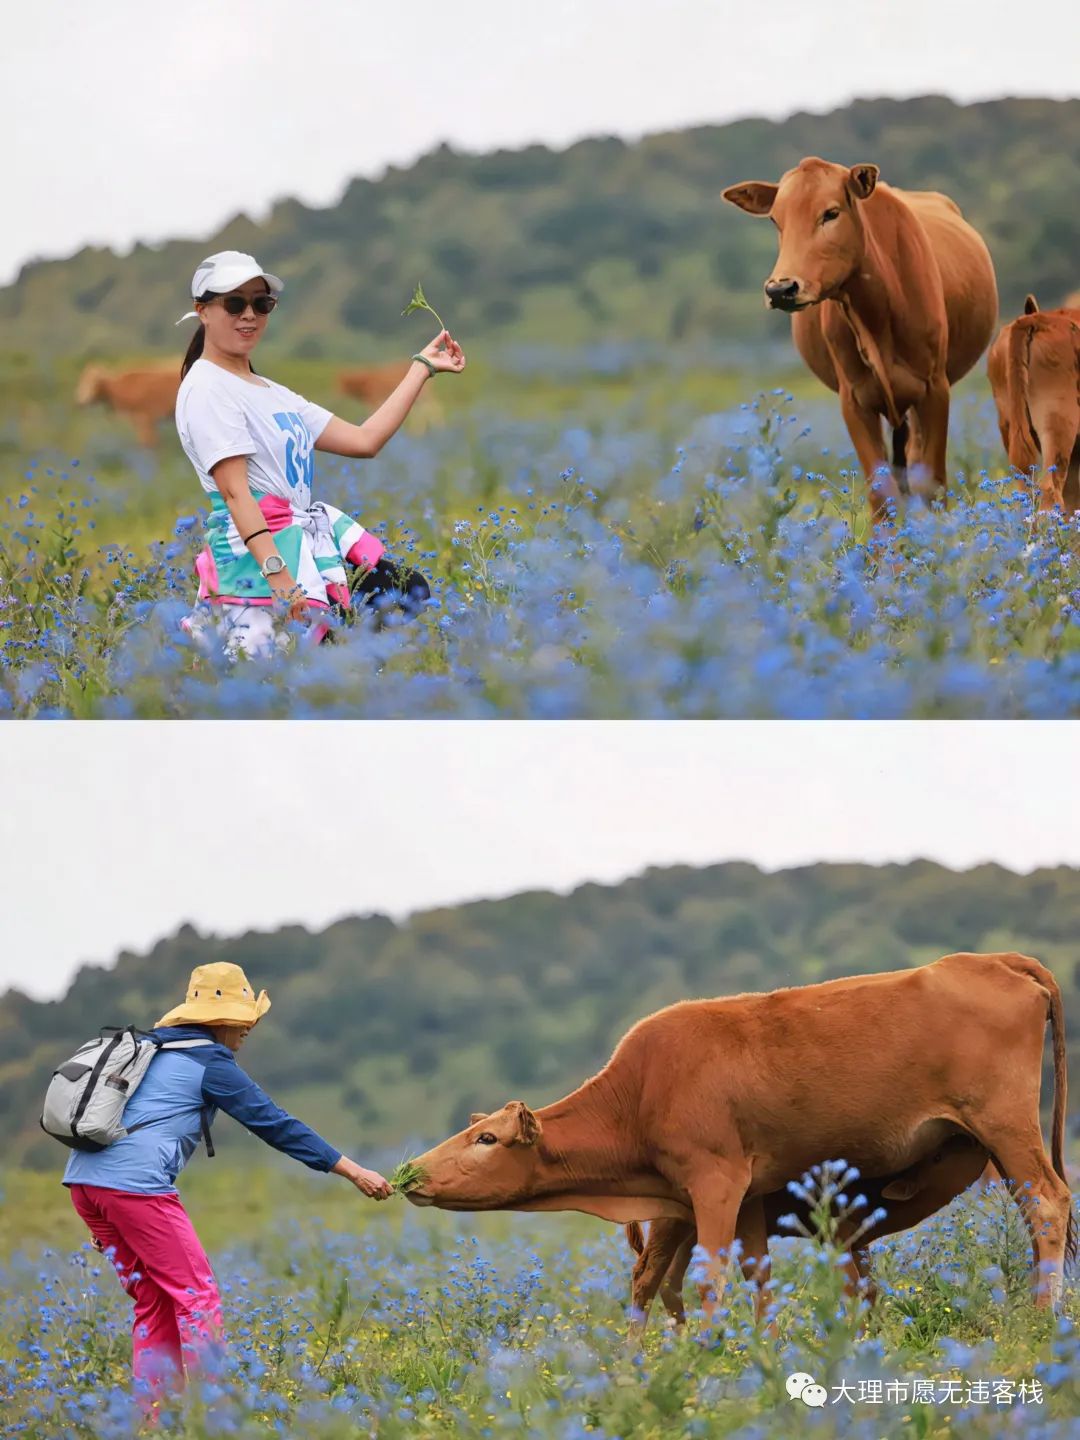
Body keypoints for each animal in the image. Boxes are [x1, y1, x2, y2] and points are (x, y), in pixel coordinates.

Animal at [408, 956, 1077, 1319]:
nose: (410, 1173)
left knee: (1048, 1203)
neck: (642, 1089)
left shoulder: (716, 1184)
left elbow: (708, 1279)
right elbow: (752, 1276)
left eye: (486, 1139)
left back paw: (1040, 1319)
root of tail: (993, 960)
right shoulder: (746, 1196)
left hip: (1006, 1126)